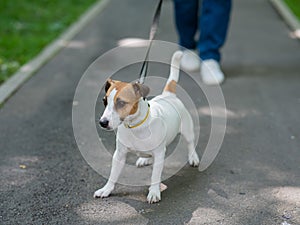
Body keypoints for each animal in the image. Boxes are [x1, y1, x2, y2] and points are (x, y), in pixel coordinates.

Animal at [94, 51, 200, 204]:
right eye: (104, 101)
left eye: (121, 103)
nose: (102, 122)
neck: (135, 126)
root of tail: (168, 95)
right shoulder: (119, 154)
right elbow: (113, 174)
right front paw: (106, 189)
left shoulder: (160, 153)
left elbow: (155, 176)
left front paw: (154, 192)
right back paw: (145, 159)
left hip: (187, 129)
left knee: (190, 143)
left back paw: (193, 157)